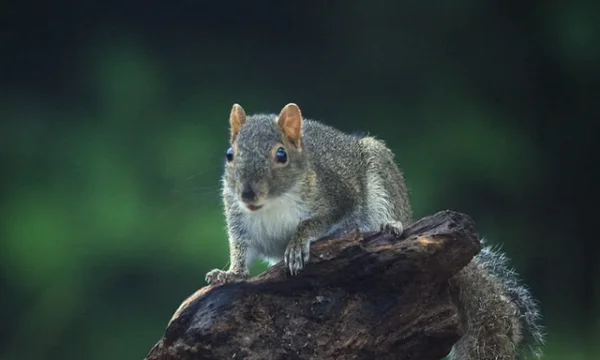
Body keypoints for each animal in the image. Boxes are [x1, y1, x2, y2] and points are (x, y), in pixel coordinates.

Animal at [205, 102, 544, 358]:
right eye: (230, 154)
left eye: (281, 155)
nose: (248, 194)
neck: (273, 205)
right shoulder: (239, 221)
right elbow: (240, 252)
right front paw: (229, 274)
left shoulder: (339, 197)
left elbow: (314, 223)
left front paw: (298, 242)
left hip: (381, 176)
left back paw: (391, 225)